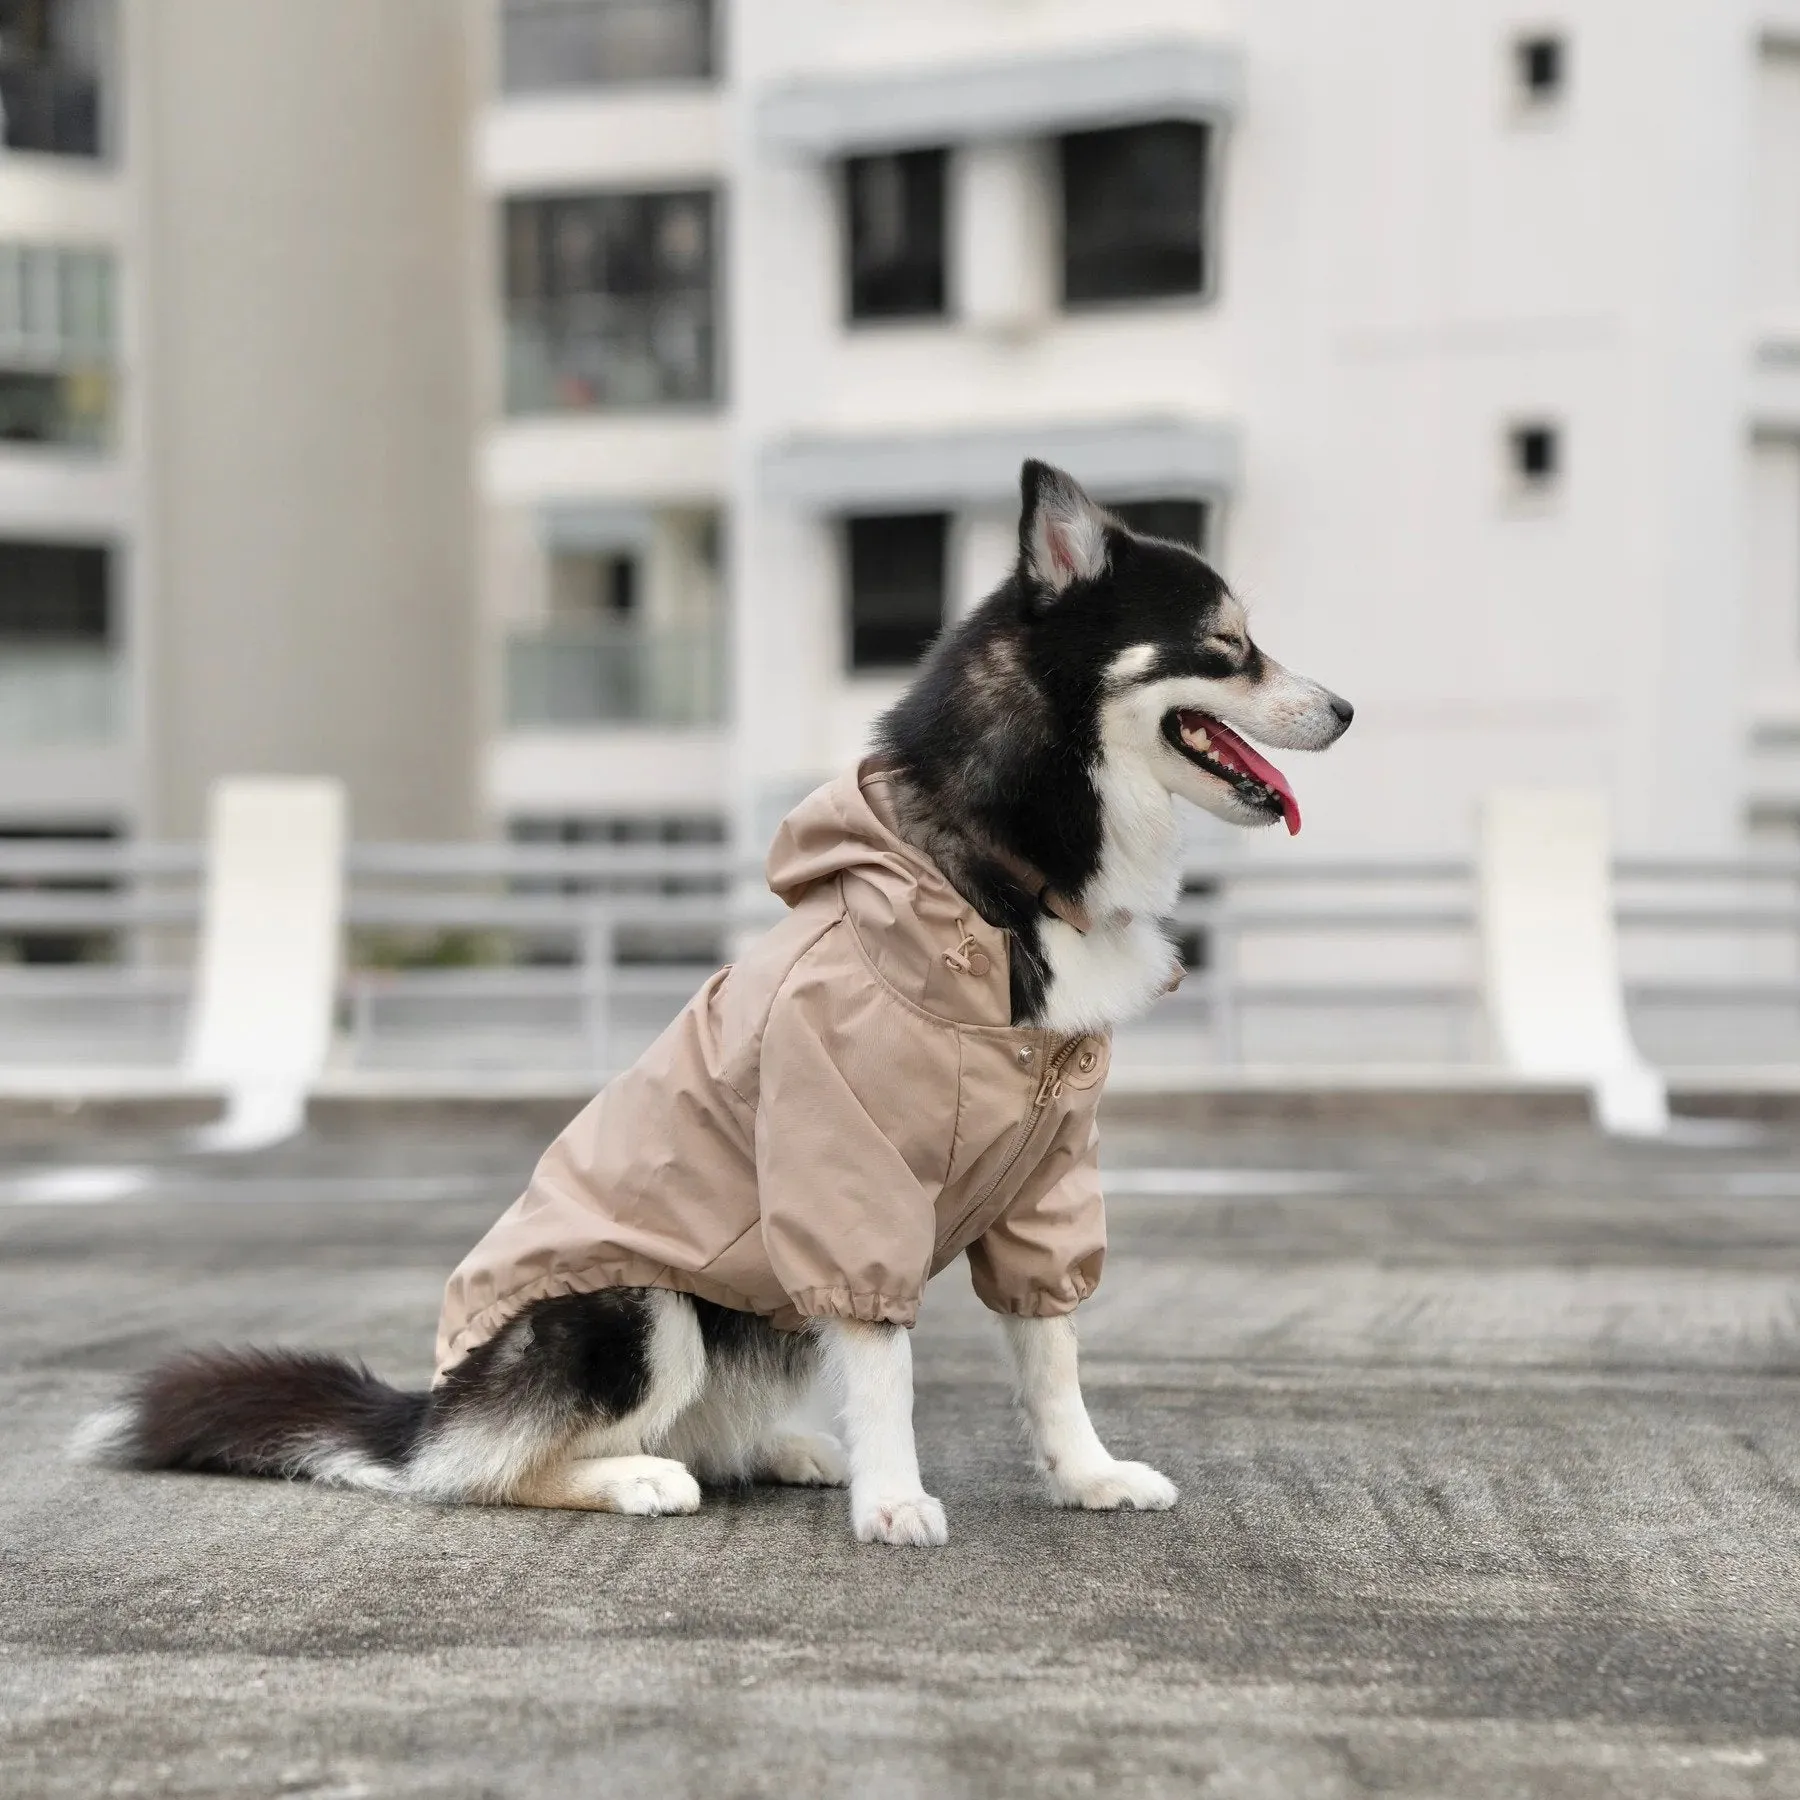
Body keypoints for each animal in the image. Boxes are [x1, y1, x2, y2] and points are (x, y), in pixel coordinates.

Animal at [70, 460, 1353, 1548]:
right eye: (1230, 647)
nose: (1344, 709)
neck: (995, 876)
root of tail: (426, 1413)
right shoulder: (846, 1170)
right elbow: (886, 1359)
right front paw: (896, 1502)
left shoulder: (1045, 1187)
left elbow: (1052, 1351)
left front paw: (1087, 1476)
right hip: (636, 1308)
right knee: (495, 1472)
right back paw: (635, 1477)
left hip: (754, 1322)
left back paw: (780, 1450)